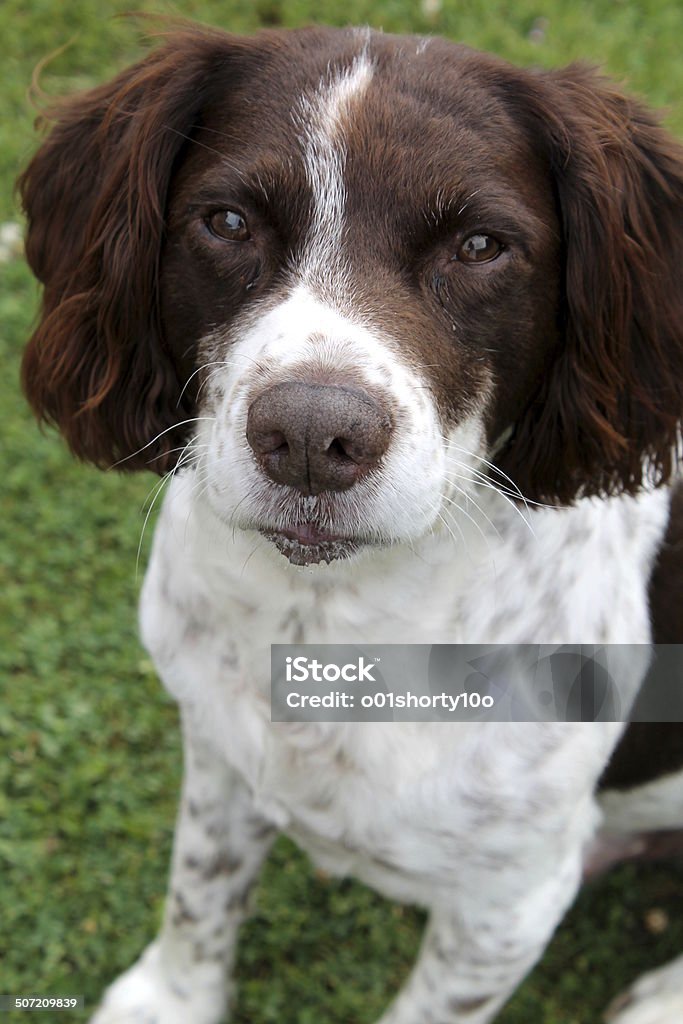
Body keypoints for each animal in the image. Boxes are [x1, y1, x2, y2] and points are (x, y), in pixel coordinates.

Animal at [20, 22, 683, 1024]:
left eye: (481, 244)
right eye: (227, 222)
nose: (307, 436)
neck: (326, 618)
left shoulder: (508, 902)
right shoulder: (216, 747)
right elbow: (200, 888)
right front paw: (171, 999)